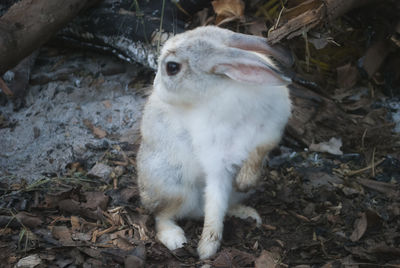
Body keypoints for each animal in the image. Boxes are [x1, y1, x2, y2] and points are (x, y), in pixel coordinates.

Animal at [137, 26, 290, 258]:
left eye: (172, 67)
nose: (155, 85)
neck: (224, 82)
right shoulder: (217, 159)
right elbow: (215, 202)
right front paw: (207, 249)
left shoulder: (271, 130)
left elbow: (259, 152)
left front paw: (246, 179)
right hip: (175, 189)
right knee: (162, 216)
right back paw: (175, 238)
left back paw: (247, 213)